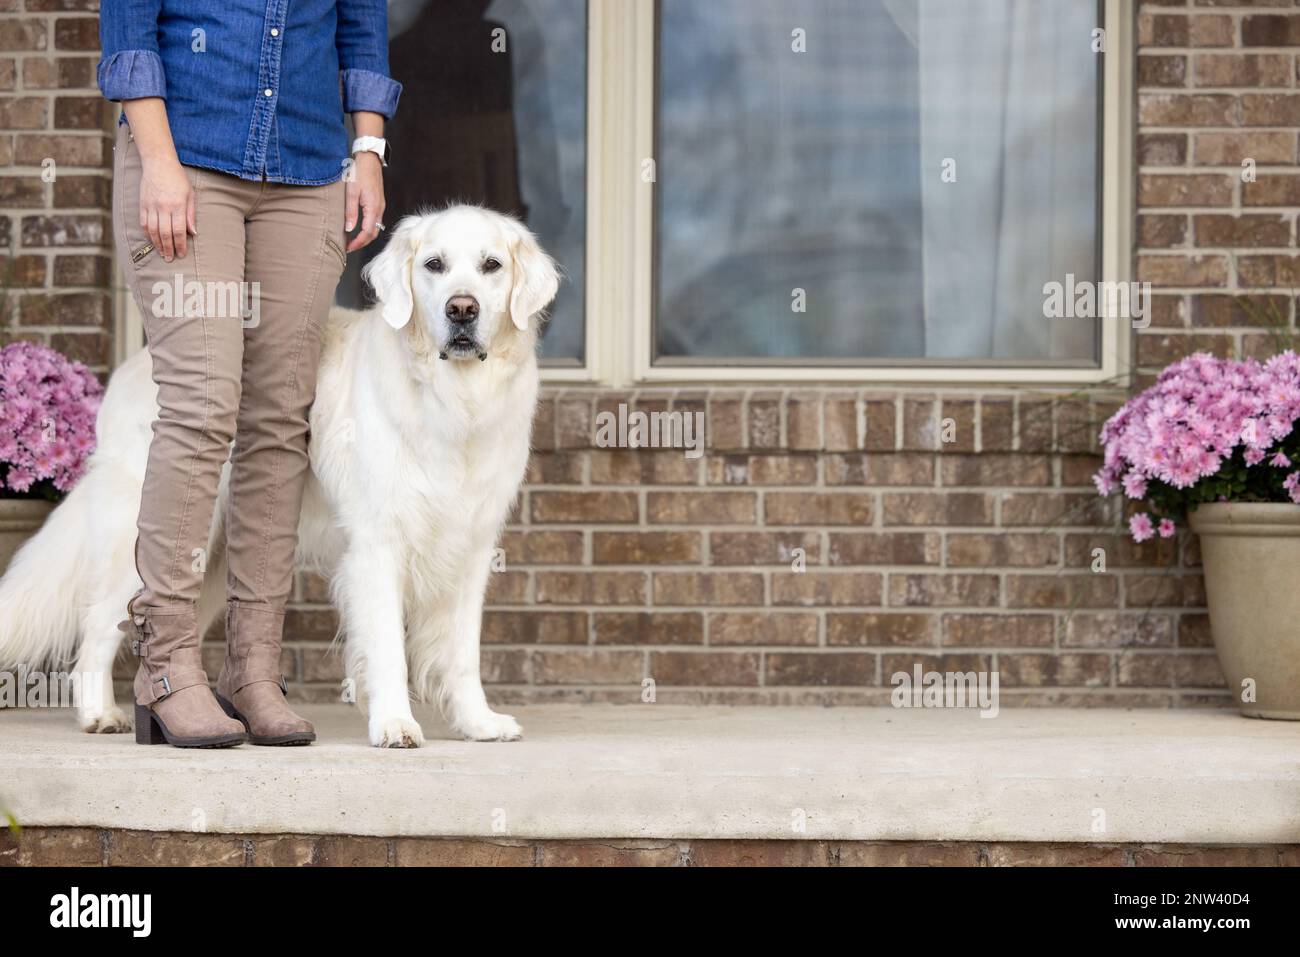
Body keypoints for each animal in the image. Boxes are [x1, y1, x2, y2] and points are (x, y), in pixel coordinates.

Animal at [0, 208, 553, 748]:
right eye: (434, 265)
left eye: (491, 266)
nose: (462, 310)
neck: (453, 398)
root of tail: (131, 368)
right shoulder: (377, 545)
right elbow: (388, 648)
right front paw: (395, 724)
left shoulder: (472, 546)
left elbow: (463, 653)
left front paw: (479, 722)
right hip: (143, 543)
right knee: (98, 627)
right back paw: (101, 713)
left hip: (213, 560)